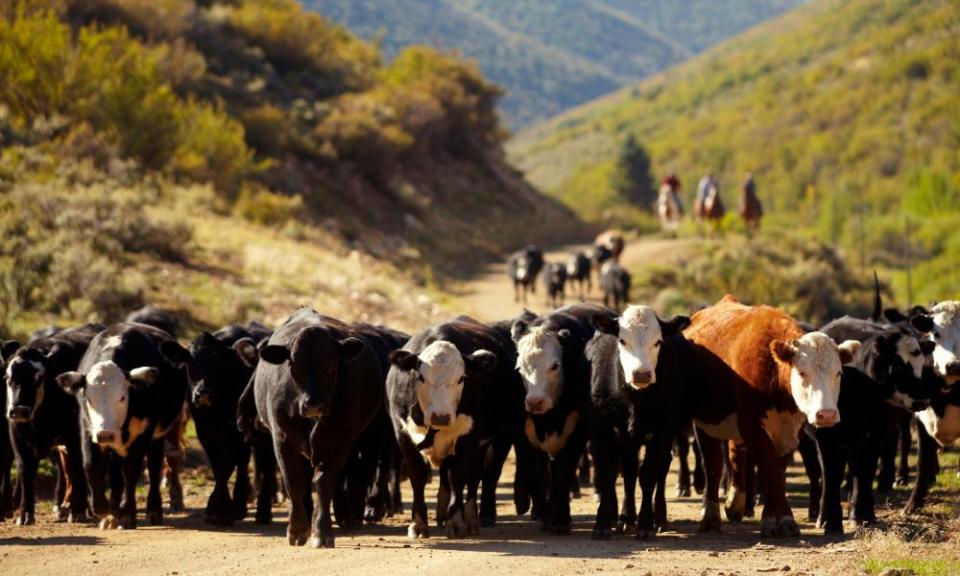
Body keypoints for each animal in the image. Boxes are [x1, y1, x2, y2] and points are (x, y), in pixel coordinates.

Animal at [3, 326, 102, 524]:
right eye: (8, 379)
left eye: (38, 379)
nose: (19, 410)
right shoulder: (18, 437)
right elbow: (25, 473)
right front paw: (25, 514)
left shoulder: (73, 437)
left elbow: (76, 469)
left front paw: (77, 511)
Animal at [58, 322, 191, 528]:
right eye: (88, 398)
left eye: (122, 397)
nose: (105, 434)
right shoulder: (87, 429)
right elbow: (91, 465)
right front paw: (103, 509)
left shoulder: (143, 433)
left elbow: (131, 470)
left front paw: (128, 514)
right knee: (116, 474)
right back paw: (114, 511)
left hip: (158, 435)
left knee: (154, 466)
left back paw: (153, 510)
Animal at [588, 308, 692, 536]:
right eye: (622, 340)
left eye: (658, 341)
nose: (642, 374)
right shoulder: (604, 427)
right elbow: (609, 472)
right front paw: (602, 523)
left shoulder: (662, 429)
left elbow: (649, 474)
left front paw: (645, 524)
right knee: (629, 471)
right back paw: (626, 517)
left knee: (661, 467)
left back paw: (659, 517)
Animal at [680, 296, 860, 540]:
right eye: (802, 373)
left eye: (838, 373)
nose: (826, 414)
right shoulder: (753, 426)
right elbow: (769, 465)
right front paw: (773, 519)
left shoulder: (790, 430)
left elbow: (779, 468)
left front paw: (784, 518)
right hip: (707, 421)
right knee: (713, 464)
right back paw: (710, 515)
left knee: (736, 454)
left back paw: (735, 503)